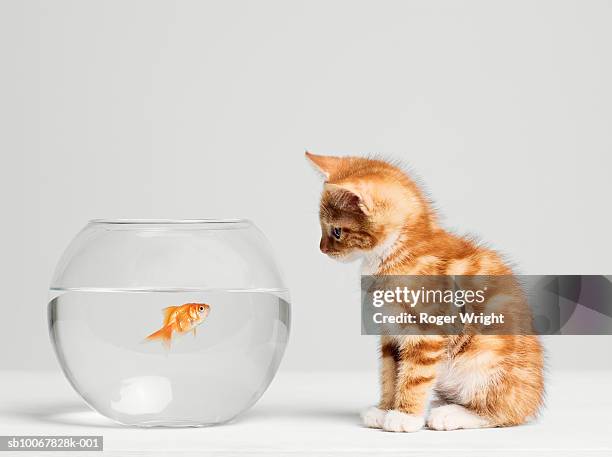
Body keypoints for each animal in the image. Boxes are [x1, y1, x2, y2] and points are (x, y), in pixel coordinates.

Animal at [306, 152, 544, 432]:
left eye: (336, 231)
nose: (322, 249)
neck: (397, 251)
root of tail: (533, 398)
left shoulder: (427, 330)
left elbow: (414, 376)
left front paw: (405, 416)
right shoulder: (389, 332)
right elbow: (391, 372)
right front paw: (384, 409)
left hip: (486, 357)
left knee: (503, 411)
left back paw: (451, 414)